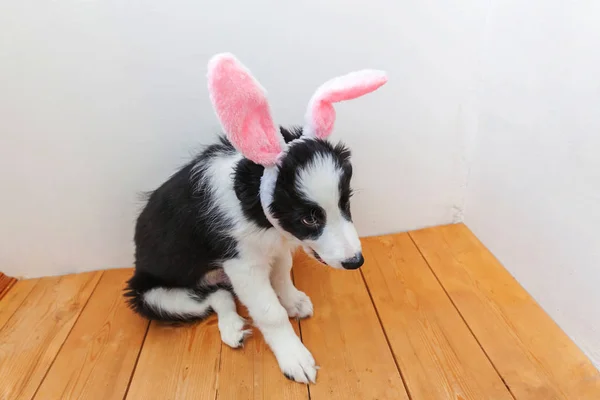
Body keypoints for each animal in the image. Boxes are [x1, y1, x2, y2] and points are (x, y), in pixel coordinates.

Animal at [126, 53, 390, 382]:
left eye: (345, 203)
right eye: (309, 219)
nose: (356, 262)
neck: (251, 201)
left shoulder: (275, 243)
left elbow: (282, 273)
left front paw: (292, 300)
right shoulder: (243, 265)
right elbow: (270, 312)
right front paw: (294, 356)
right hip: (152, 296)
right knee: (215, 297)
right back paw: (231, 327)